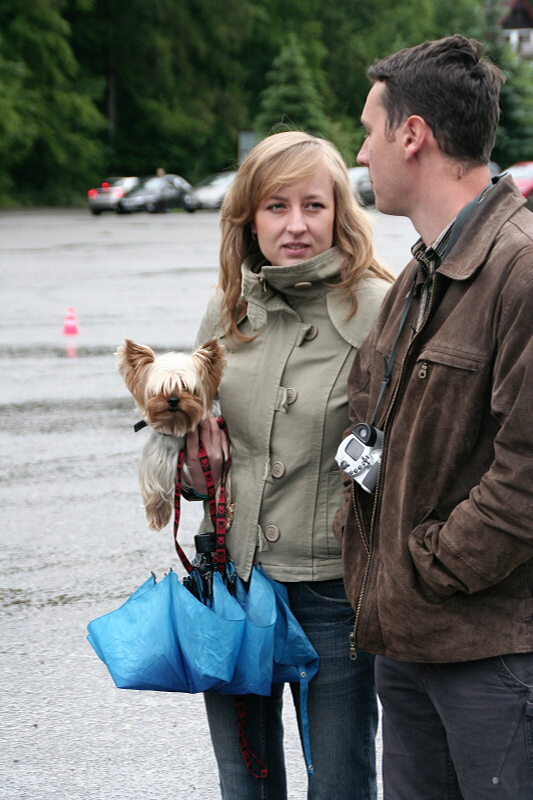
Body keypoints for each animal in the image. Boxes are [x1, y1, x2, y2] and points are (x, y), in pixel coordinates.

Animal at [116, 337, 226, 530]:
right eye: (161, 388)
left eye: (186, 387)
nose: (173, 400)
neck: (176, 426)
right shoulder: (159, 458)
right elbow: (155, 486)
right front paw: (157, 516)